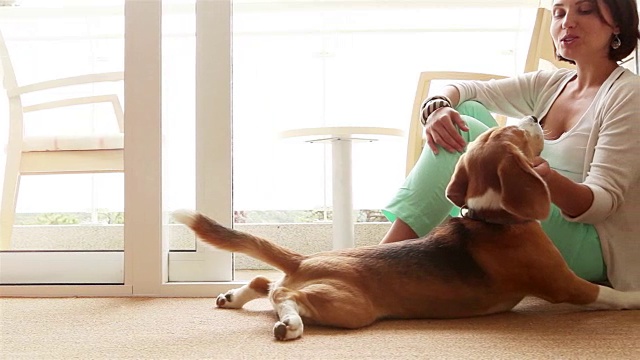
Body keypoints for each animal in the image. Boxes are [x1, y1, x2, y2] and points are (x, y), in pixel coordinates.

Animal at [174, 116, 640, 340]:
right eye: (514, 133)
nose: (534, 117)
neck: (493, 219)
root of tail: (304, 260)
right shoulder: (566, 284)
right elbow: (610, 294)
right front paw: (634, 296)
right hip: (349, 307)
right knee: (284, 296)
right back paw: (290, 324)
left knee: (263, 281)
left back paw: (233, 296)